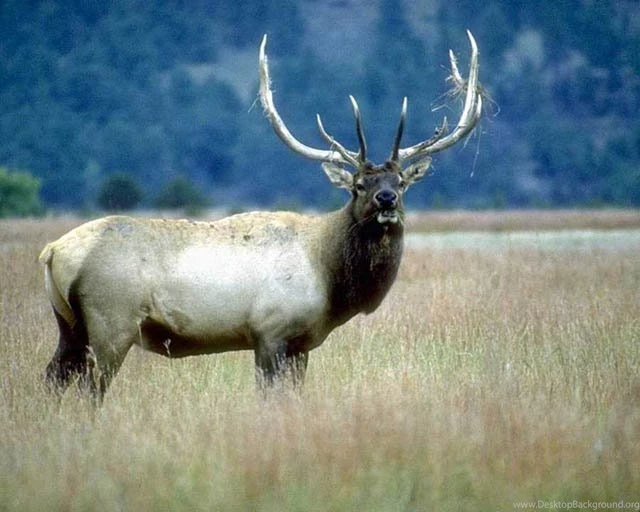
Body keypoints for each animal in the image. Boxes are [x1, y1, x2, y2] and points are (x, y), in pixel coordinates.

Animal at [39, 32, 482, 403]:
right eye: (358, 185)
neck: (330, 278)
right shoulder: (270, 332)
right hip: (110, 322)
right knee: (89, 390)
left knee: (52, 378)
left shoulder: (300, 344)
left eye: (402, 182)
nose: (386, 198)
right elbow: (269, 398)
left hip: (70, 326)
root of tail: (52, 250)